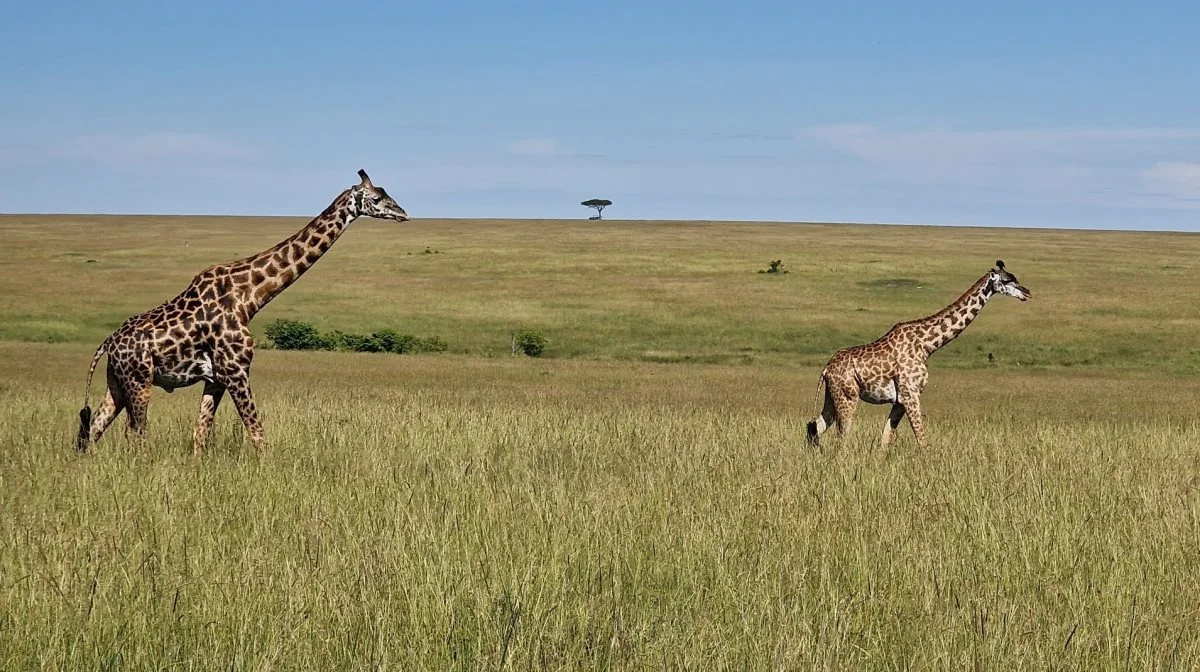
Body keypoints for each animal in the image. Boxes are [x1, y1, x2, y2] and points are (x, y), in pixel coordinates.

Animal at [78, 168, 412, 456]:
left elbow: (201, 433)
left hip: (117, 381)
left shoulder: (216, 377)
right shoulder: (236, 370)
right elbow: (257, 433)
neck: (248, 297)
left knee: (93, 428)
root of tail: (108, 342)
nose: (404, 214)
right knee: (134, 432)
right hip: (139, 379)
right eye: (377, 198)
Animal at [806, 260, 1032, 448]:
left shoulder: (899, 401)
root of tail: (826, 369)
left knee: (814, 428)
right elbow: (922, 441)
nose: (1027, 292)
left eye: (1015, 276)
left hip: (832, 396)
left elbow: (885, 440)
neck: (927, 345)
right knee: (840, 438)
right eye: (1006, 280)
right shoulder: (911, 394)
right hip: (848, 396)